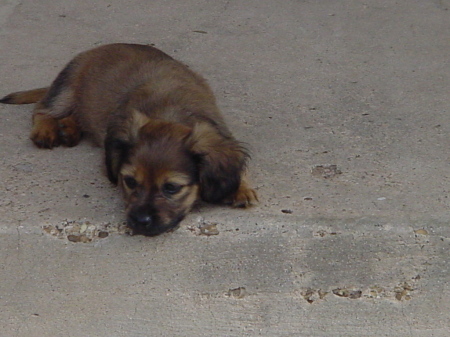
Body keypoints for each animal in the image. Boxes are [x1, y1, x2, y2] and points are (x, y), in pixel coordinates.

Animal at [0, 42, 256, 236]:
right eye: (130, 181)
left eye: (171, 188)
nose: (140, 222)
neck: (168, 111)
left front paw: (241, 188)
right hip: (66, 88)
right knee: (42, 110)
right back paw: (47, 131)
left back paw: (69, 129)